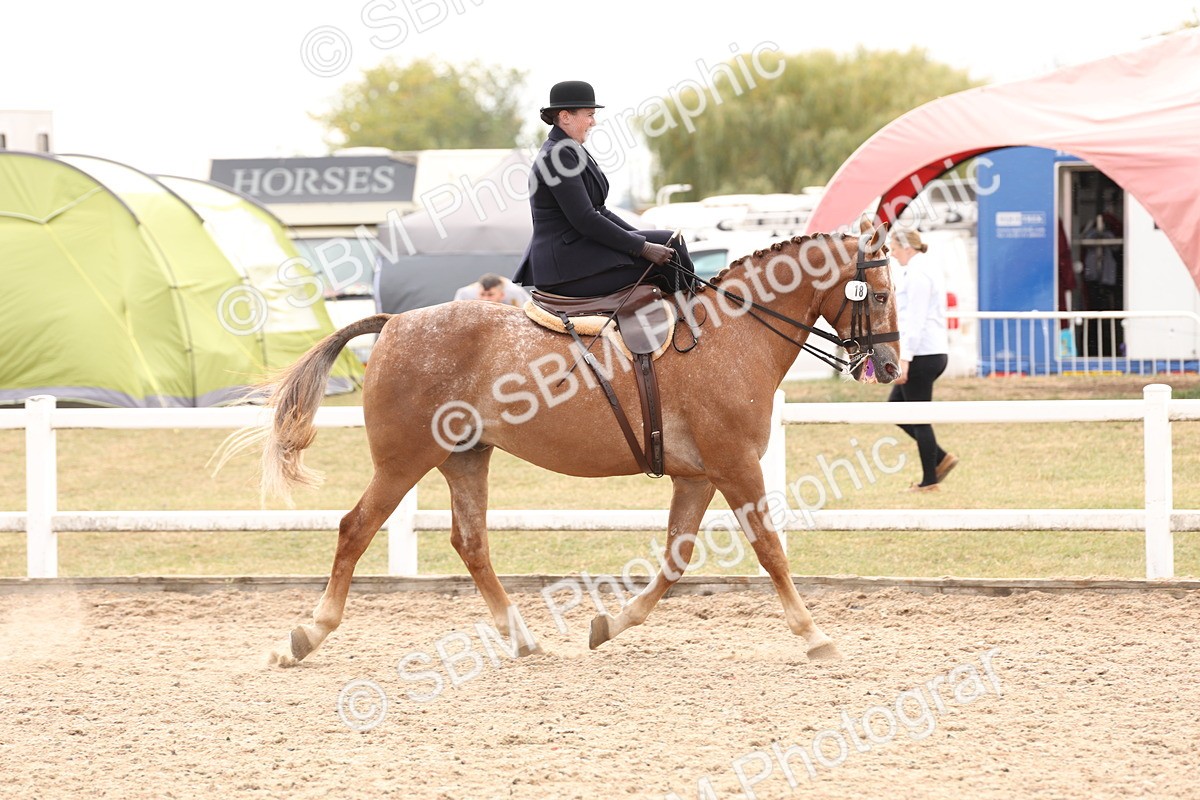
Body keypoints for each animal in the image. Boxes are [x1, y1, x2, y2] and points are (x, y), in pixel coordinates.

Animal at [219, 219, 900, 667]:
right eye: (882, 293)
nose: (891, 367)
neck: (731, 334)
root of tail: (393, 323)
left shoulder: (698, 475)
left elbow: (674, 561)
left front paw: (610, 624)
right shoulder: (735, 467)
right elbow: (769, 550)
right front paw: (815, 636)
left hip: (465, 458)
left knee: (471, 543)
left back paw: (521, 637)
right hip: (404, 461)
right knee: (356, 529)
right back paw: (307, 635)